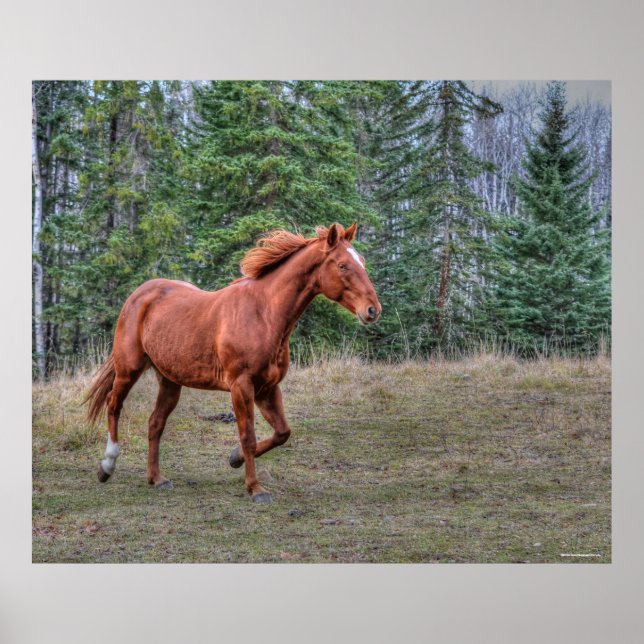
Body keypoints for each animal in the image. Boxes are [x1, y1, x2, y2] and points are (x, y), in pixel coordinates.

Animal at [85, 222, 381, 503]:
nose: (372, 310)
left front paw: (235, 458)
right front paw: (255, 489)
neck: (263, 314)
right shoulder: (241, 387)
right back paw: (107, 467)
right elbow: (248, 436)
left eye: (362, 261)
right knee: (113, 405)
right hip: (129, 369)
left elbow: (282, 432)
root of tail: (139, 294)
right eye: (343, 265)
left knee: (155, 423)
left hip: (169, 381)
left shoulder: (267, 388)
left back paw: (156, 478)